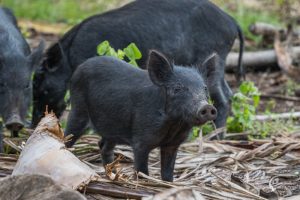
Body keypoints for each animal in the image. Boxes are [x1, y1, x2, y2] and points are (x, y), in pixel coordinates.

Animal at [32, 0, 244, 137]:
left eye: (42, 85)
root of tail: (232, 20)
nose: (33, 125)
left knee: (223, 99)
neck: (69, 58)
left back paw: (215, 138)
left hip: (214, 58)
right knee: (229, 93)